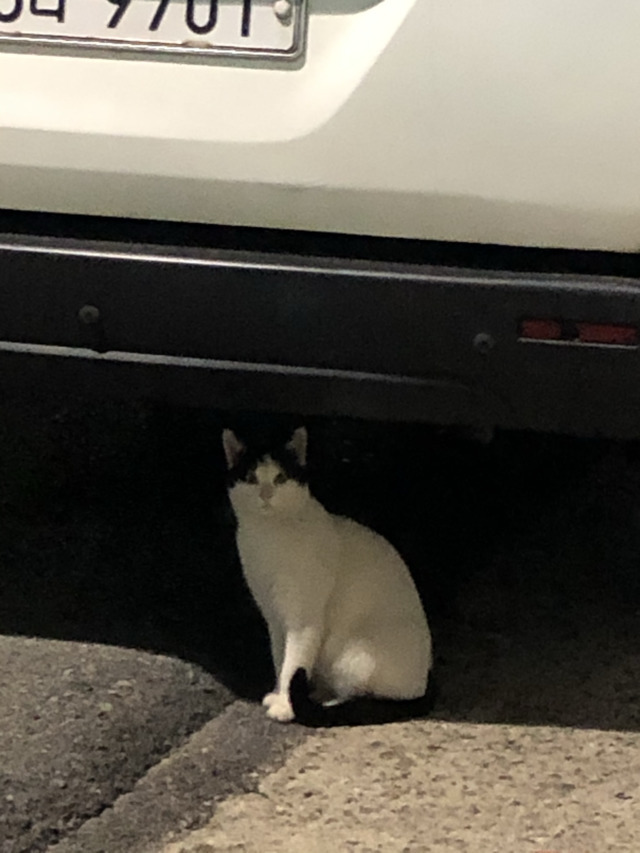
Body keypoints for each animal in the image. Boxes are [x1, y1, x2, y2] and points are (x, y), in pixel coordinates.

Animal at [222, 425, 434, 726]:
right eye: (251, 478)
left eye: (280, 478)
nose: (265, 494)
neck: (269, 534)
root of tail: (425, 679)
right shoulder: (274, 615)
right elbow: (280, 658)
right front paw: (279, 693)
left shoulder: (304, 619)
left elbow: (293, 661)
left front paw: (286, 706)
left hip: (353, 658)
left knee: (362, 695)